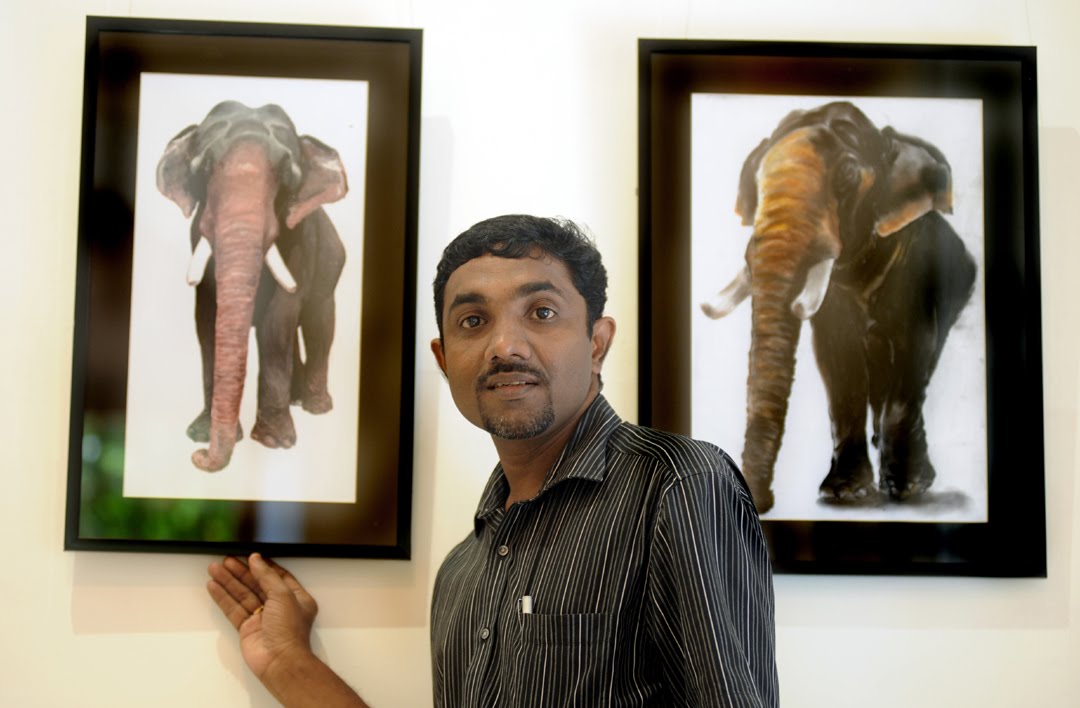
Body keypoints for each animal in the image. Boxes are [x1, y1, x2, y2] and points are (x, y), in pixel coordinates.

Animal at [157, 100, 348, 472]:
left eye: (288, 177)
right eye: (203, 168)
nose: (198, 459)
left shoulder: (298, 241)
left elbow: (278, 320)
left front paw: (274, 442)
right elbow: (206, 318)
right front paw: (199, 434)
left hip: (331, 265)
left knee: (317, 324)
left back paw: (316, 407)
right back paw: (296, 400)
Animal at [701, 101, 976, 513]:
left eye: (847, 175)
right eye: (756, 183)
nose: (762, 502)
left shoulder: (914, 268)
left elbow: (912, 348)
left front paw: (905, 490)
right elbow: (837, 358)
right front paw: (844, 493)